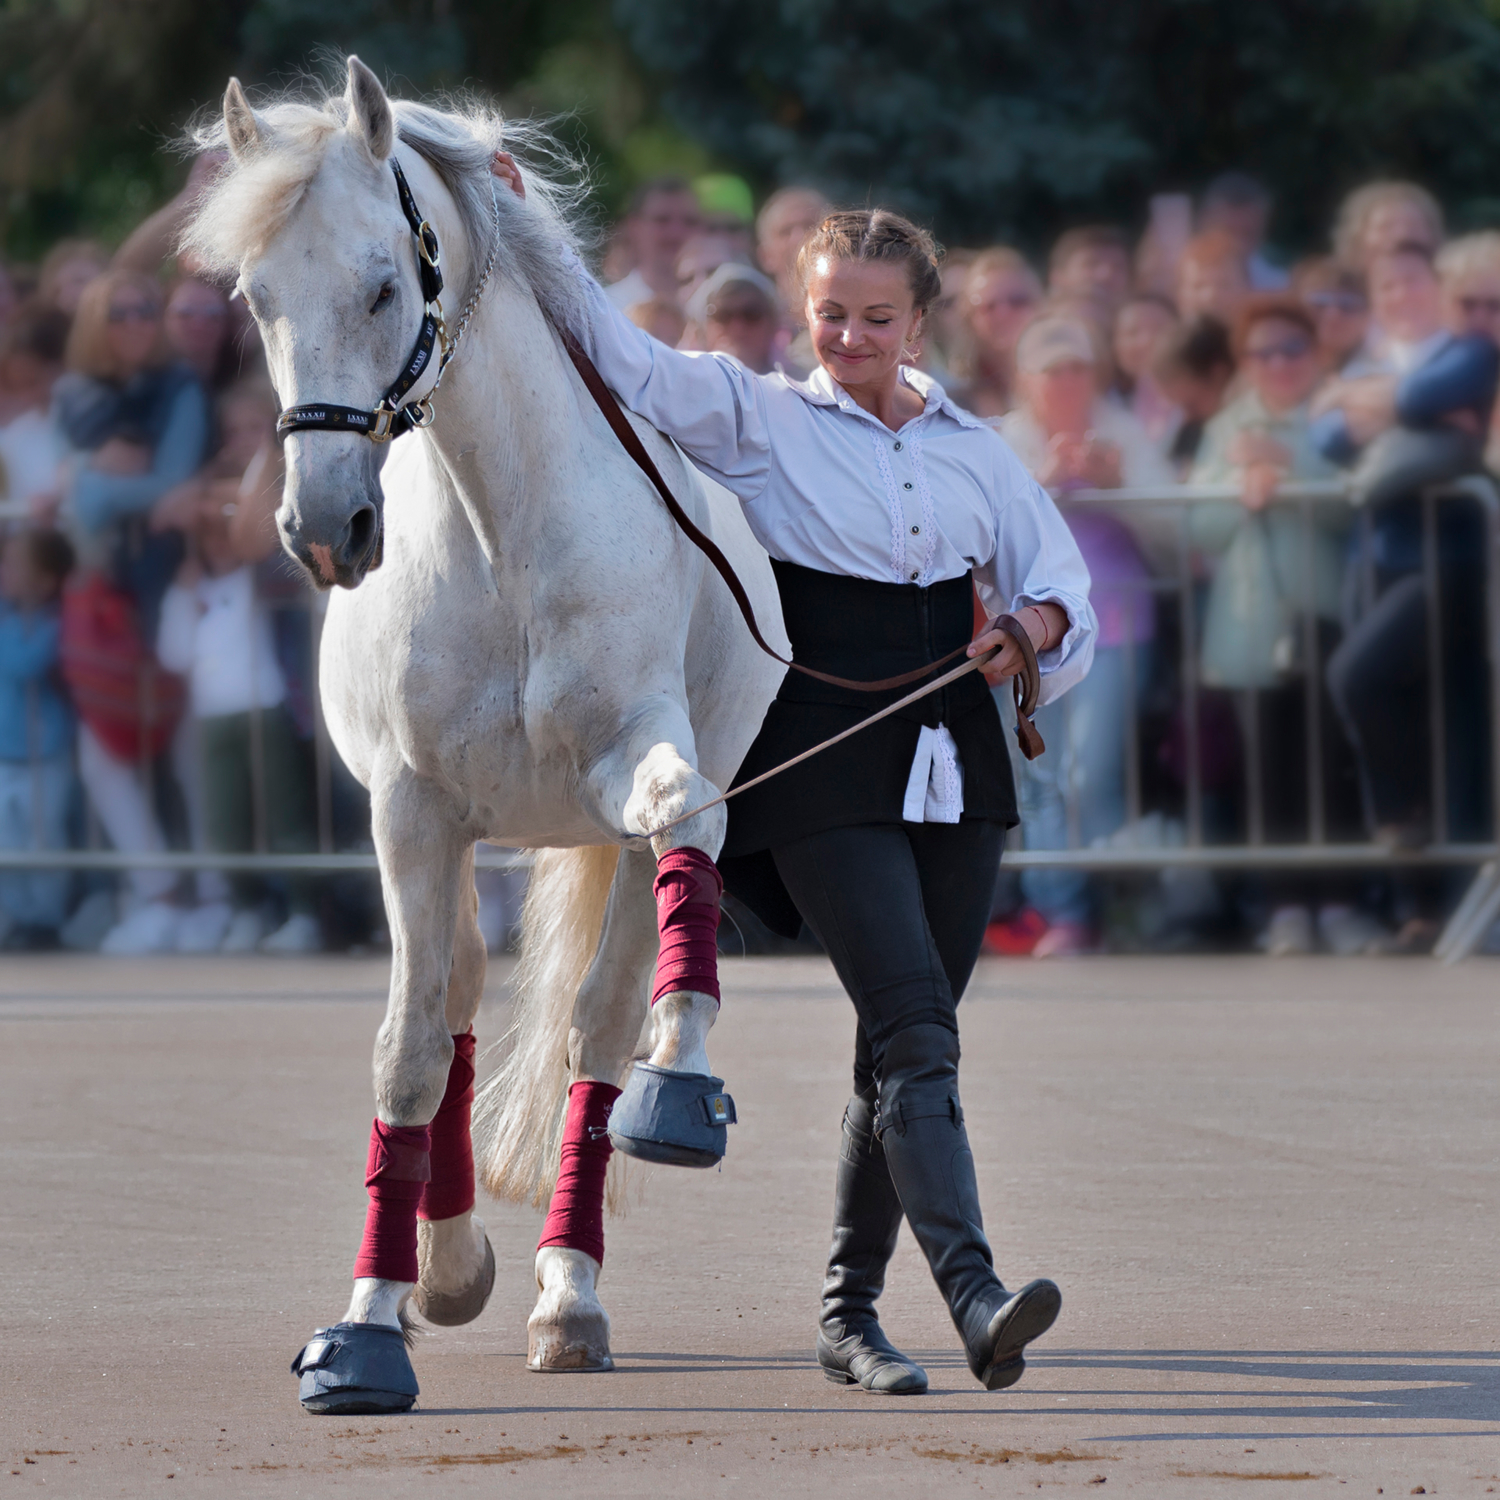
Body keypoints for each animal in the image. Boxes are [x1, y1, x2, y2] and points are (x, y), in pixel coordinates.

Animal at [187, 58, 786, 1392]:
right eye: (257, 299)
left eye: (383, 283)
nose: (326, 528)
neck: (503, 535)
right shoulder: (411, 812)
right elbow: (412, 1052)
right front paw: (370, 1322)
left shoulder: (633, 768)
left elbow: (674, 836)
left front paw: (681, 1078)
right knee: (457, 997)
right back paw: (448, 1265)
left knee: (595, 1027)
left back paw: (570, 1291)